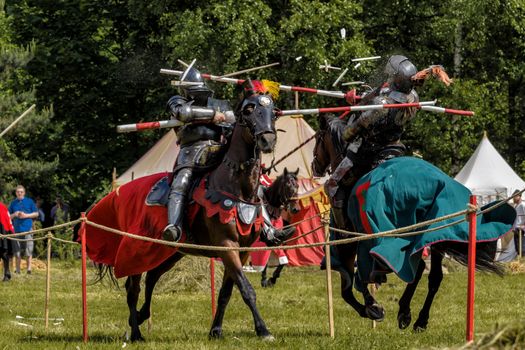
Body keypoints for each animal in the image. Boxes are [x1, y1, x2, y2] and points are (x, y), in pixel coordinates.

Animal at [310, 113, 512, 330]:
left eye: (318, 138)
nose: (315, 166)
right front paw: (373, 308)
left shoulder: (349, 243)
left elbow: (350, 286)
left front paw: (372, 308)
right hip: (434, 235)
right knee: (433, 276)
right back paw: (418, 319)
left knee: (415, 266)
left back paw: (404, 311)